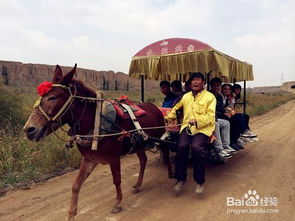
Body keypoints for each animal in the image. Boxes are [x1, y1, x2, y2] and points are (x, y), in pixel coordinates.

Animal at [23, 64, 171, 219]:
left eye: (52, 97)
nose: (29, 129)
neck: (96, 123)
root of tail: (155, 107)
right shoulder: (89, 159)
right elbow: (76, 185)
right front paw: (71, 214)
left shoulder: (113, 158)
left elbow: (116, 180)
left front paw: (117, 203)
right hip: (139, 144)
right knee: (143, 160)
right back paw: (138, 185)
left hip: (162, 138)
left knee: (166, 152)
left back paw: (171, 174)